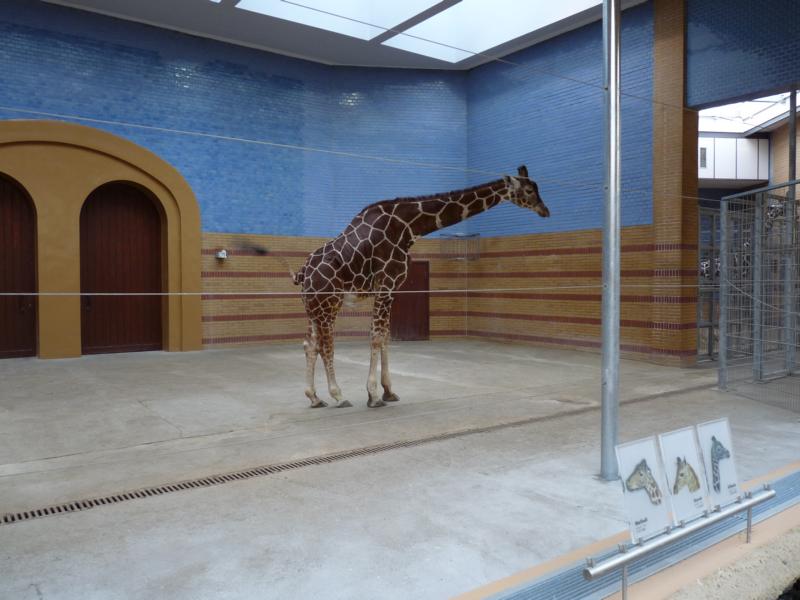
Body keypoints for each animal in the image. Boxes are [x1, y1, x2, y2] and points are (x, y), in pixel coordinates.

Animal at [293, 165, 550, 409]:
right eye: (529, 190)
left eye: (537, 188)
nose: (545, 211)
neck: (408, 228)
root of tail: (303, 273)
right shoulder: (386, 284)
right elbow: (376, 337)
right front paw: (373, 396)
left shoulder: (391, 289)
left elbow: (385, 336)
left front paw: (389, 391)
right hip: (329, 304)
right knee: (326, 345)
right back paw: (338, 396)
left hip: (313, 307)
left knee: (310, 344)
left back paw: (314, 398)